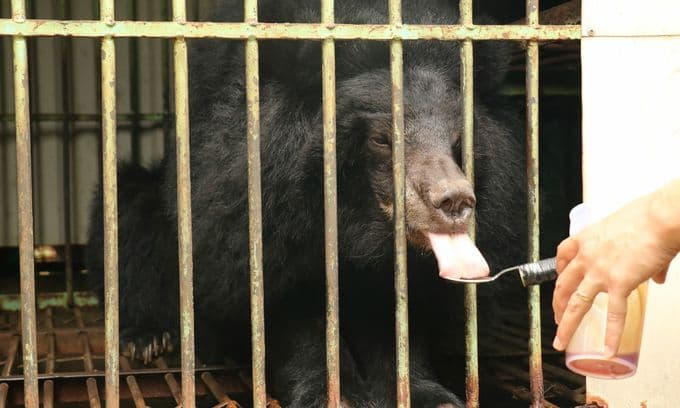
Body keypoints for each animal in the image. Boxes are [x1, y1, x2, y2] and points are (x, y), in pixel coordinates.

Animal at [86, 0, 527, 406]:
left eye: (457, 138)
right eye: (381, 139)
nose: (454, 202)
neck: (359, 228)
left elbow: (403, 308)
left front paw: (426, 394)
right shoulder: (254, 201)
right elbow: (288, 300)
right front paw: (335, 393)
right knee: (130, 210)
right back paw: (149, 337)